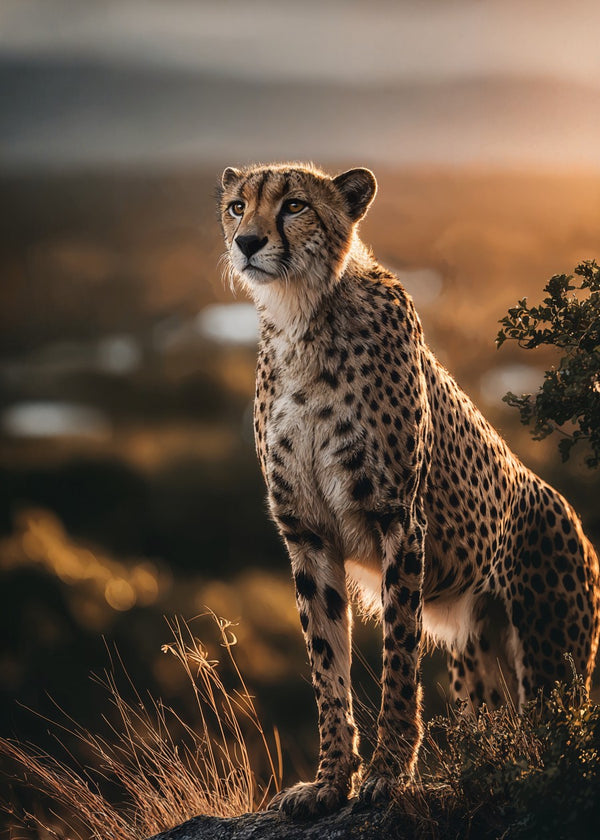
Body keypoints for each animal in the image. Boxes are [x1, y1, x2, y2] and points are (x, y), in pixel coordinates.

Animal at [217, 161, 600, 819]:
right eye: (238, 206)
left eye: (294, 205)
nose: (247, 242)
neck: (302, 320)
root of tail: (570, 514)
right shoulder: (307, 534)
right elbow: (327, 665)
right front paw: (329, 781)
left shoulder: (397, 519)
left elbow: (398, 655)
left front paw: (389, 774)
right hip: (478, 655)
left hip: (553, 661)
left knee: (558, 745)